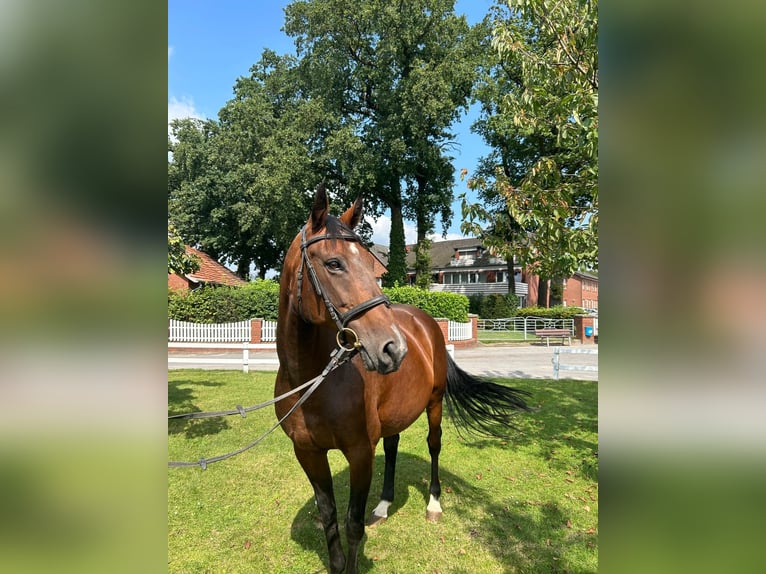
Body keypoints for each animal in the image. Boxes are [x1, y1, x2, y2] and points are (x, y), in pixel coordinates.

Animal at [276, 186, 536, 574]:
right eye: (334, 264)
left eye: (371, 267)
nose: (392, 348)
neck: (313, 381)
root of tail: (424, 321)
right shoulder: (307, 453)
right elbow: (331, 520)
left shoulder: (359, 453)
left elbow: (352, 525)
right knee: (393, 447)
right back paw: (384, 505)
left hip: (434, 404)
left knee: (433, 445)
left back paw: (433, 504)